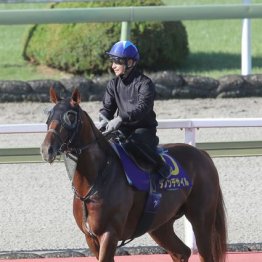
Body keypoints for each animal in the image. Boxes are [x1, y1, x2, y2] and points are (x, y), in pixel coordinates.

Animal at [40, 88, 226, 262]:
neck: (96, 180)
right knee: (181, 252)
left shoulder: (109, 234)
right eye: (49, 114)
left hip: (201, 218)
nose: (46, 149)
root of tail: (202, 154)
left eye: (70, 116)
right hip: (160, 224)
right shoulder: (90, 238)